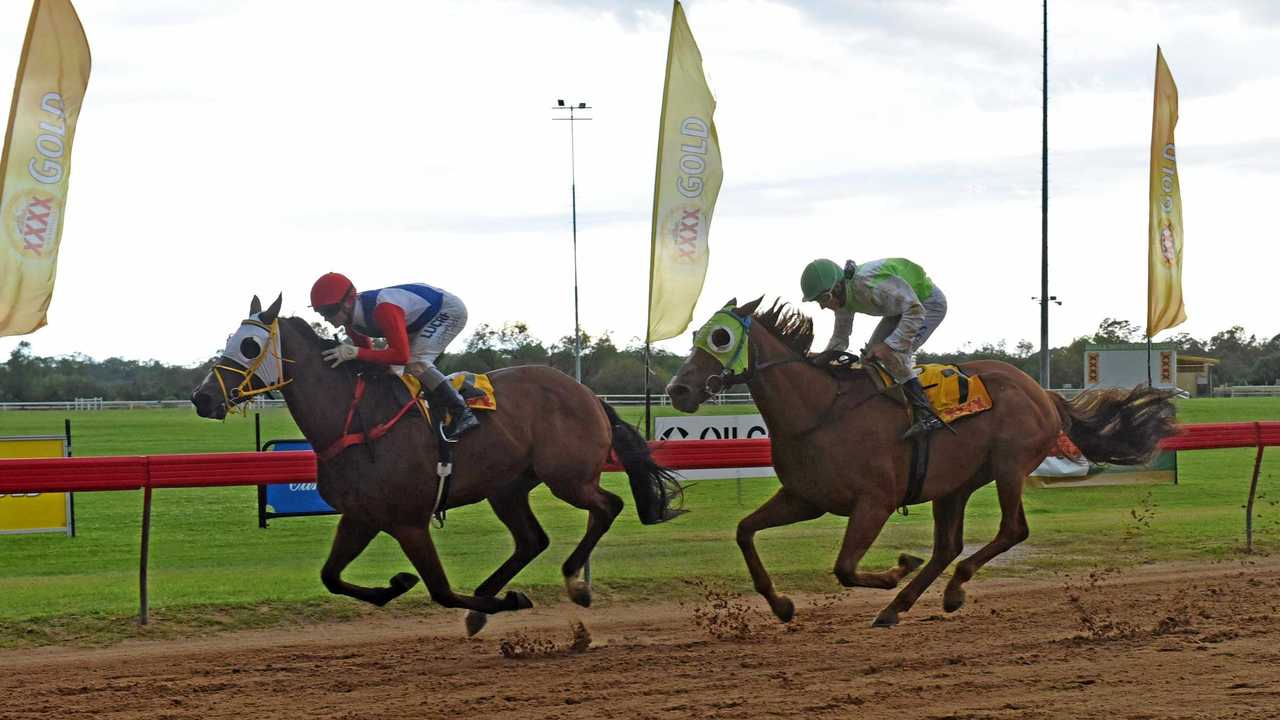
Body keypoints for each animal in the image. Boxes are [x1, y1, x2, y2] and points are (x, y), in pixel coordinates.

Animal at [189, 297, 680, 632]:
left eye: (249, 345)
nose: (201, 398)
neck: (356, 419)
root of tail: (587, 393)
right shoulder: (361, 516)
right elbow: (331, 576)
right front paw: (396, 585)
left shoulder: (409, 521)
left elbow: (441, 591)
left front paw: (508, 602)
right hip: (507, 488)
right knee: (532, 540)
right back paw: (489, 599)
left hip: (568, 478)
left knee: (608, 507)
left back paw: (575, 583)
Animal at [665, 295, 1172, 622]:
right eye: (695, 333)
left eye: (721, 336)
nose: (678, 389)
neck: (820, 411)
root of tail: (1043, 392)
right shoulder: (804, 498)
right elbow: (744, 531)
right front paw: (782, 604)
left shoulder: (875, 502)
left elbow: (844, 568)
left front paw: (895, 570)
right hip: (955, 484)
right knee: (949, 545)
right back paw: (899, 607)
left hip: (1009, 466)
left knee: (1011, 530)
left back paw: (947, 590)